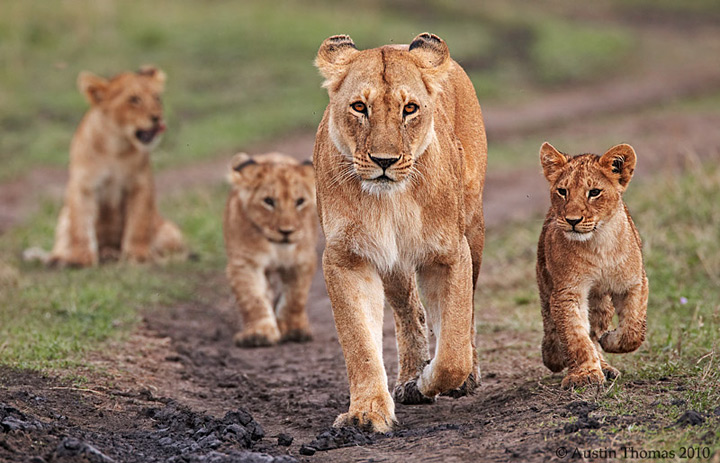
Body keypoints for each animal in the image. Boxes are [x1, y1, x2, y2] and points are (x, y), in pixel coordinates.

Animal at [45, 66, 184, 267]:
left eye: (157, 98)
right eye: (134, 99)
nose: (158, 118)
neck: (116, 147)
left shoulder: (140, 184)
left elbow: (138, 223)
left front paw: (138, 255)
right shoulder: (83, 186)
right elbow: (81, 226)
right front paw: (81, 258)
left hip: (170, 231)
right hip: (64, 217)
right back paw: (59, 258)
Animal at [223, 152, 318, 347]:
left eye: (300, 202)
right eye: (268, 201)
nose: (286, 231)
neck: (277, 248)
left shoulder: (302, 261)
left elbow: (295, 297)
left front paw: (293, 330)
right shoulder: (245, 263)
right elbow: (253, 299)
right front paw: (259, 334)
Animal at [313, 33, 487, 432]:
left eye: (410, 109)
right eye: (359, 107)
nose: (384, 161)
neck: (389, 201)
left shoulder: (449, 254)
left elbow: (453, 349)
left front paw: (430, 381)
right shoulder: (348, 258)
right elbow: (360, 343)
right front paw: (367, 413)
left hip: (473, 226)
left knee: (467, 313)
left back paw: (458, 379)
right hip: (393, 264)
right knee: (410, 312)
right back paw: (409, 375)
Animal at [536, 142, 648, 388]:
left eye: (594, 192)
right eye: (563, 191)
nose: (572, 220)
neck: (599, 245)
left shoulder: (634, 283)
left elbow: (633, 329)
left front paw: (610, 340)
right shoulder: (567, 291)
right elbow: (575, 336)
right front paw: (584, 375)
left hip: (600, 302)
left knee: (595, 331)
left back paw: (605, 364)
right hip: (545, 282)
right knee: (553, 324)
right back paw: (556, 355)